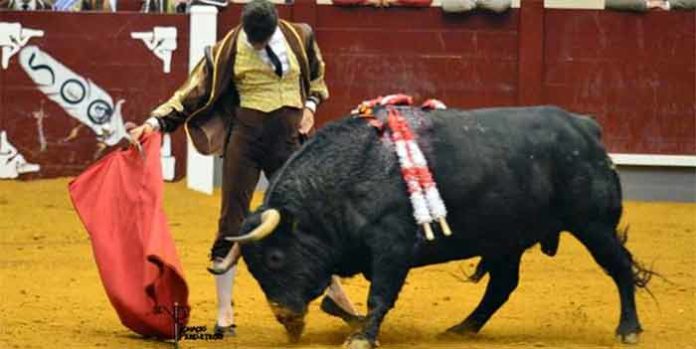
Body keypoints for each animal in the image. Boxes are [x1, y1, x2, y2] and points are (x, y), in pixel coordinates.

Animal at [231, 106, 648, 348]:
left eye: (274, 257)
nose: (285, 317)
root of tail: (585, 127)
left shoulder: (392, 247)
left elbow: (378, 296)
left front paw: (363, 337)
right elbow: (335, 303)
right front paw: (357, 325)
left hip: (593, 224)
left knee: (620, 266)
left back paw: (628, 329)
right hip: (508, 238)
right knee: (502, 285)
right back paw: (462, 328)